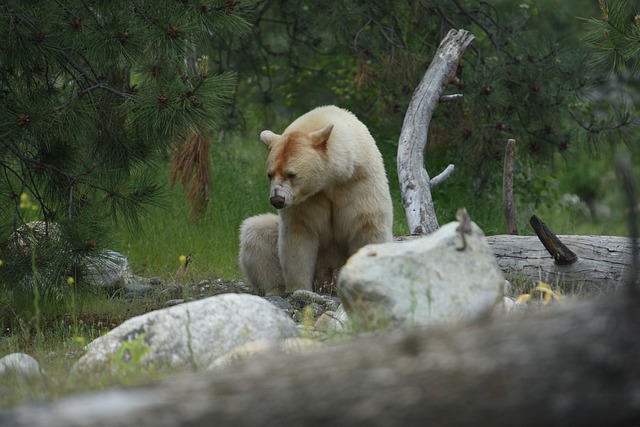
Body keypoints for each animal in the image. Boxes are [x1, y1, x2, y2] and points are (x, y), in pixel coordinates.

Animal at [239, 105, 392, 296]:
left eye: (291, 174)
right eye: (270, 174)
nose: (277, 200)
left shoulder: (358, 183)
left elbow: (366, 227)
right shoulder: (306, 201)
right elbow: (298, 235)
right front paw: (299, 289)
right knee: (256, 232)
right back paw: (276, 289)